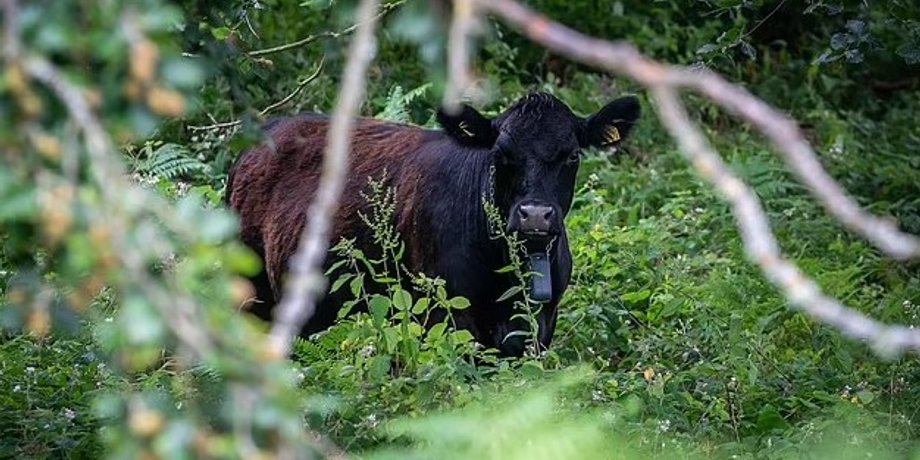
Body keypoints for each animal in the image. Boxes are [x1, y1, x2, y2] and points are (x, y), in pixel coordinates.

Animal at [225, 92, 640, 356]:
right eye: (501, 153)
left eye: (572, 155)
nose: (535, 214)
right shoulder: (445, 313)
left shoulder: (540, 322)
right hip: (250, 290)